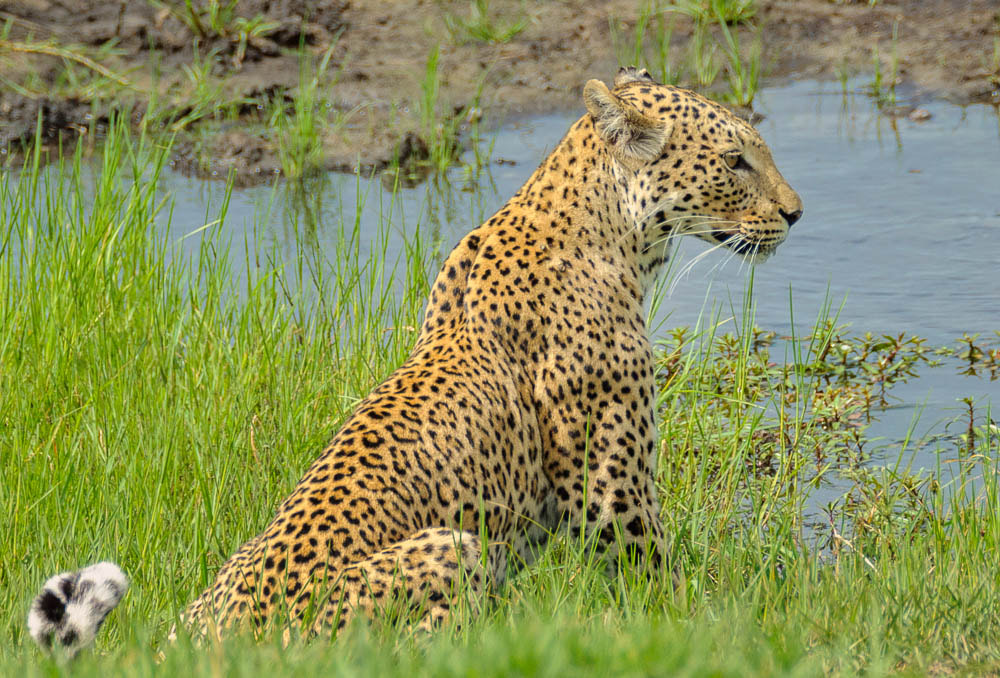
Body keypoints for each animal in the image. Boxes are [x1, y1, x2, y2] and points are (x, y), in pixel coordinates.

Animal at [28, 66, 802, 656]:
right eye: (735, 161)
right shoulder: (611, 485)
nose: (796, 214)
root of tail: (212, 642)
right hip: (454, 549)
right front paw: (715, 631)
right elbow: (657, 583)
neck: (617, 235)